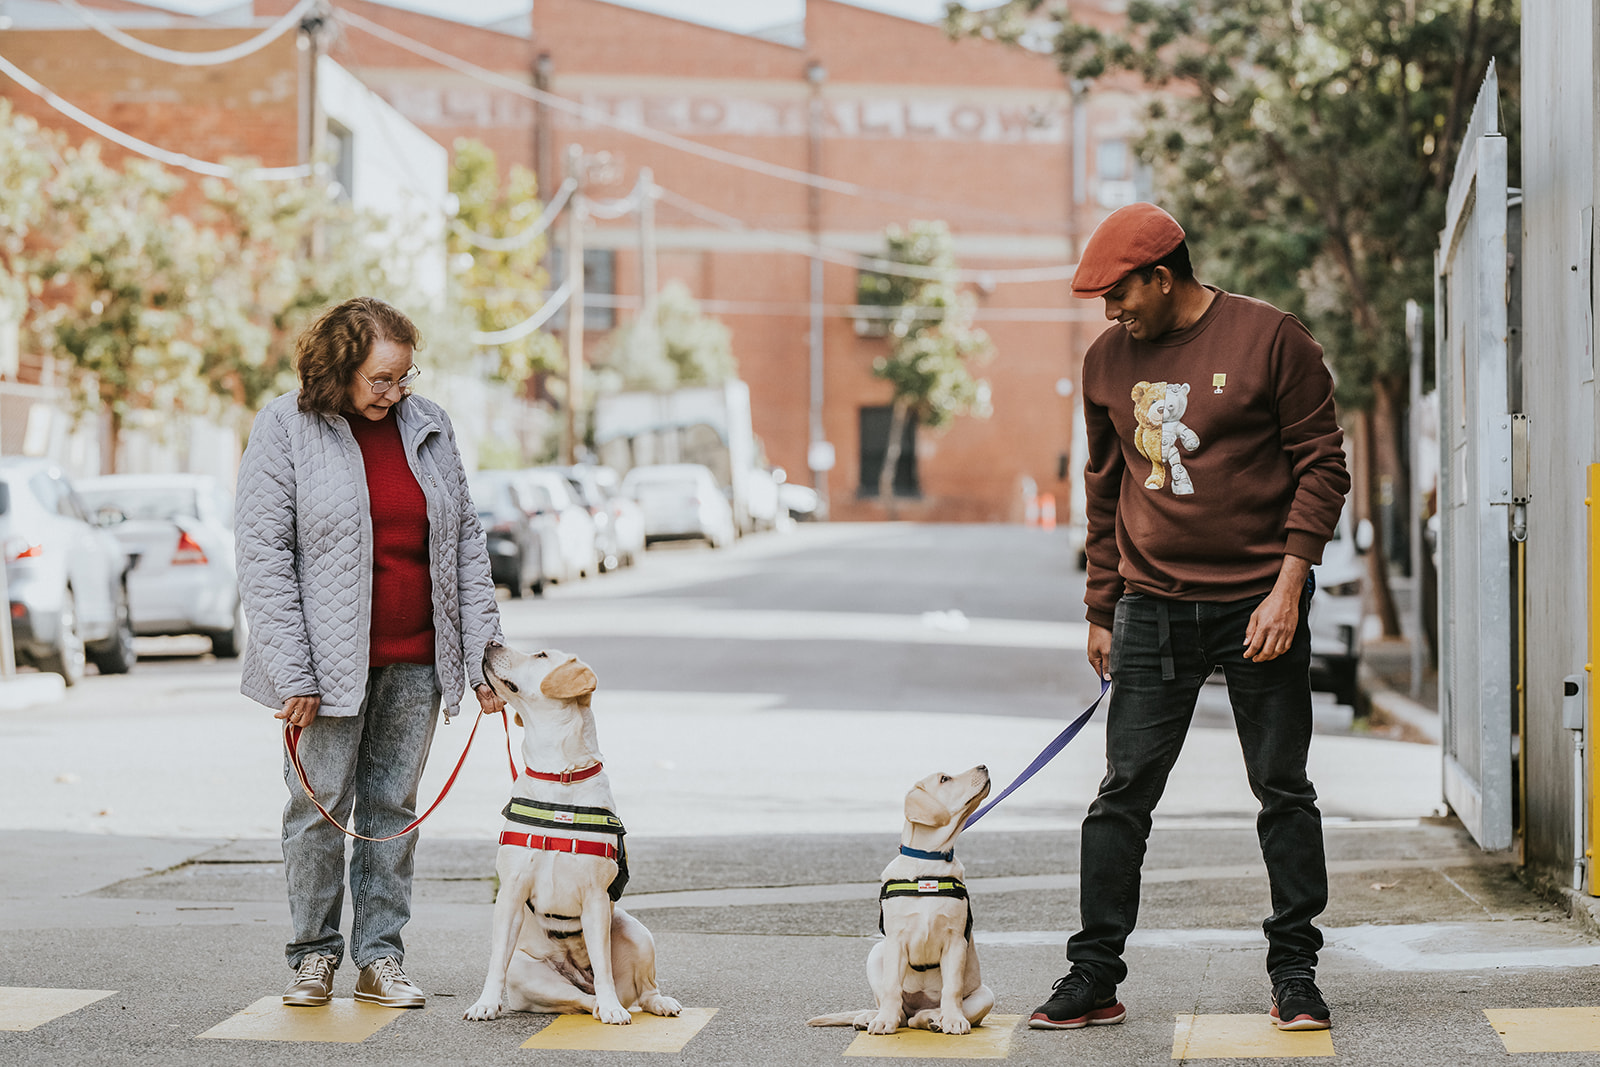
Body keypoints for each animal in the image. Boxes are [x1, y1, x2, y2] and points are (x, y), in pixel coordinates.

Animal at [460, 643, 678, 1023]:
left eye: (540, 655)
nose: (489, 643)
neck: (558, 773)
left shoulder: (595, 898)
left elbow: (603, 966)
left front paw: (613, 1007)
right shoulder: (511, 892)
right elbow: (496, 959)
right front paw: (485, 1003)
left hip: (636, 931)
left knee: (641, 990)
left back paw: (644, 1003)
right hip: (528, 972)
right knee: (578, 1000)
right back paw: (598, 1004)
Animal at [806, 767, 992, 1036]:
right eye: (944, 779)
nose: (984, 766)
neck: (928, 864)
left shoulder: (956, 941)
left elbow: (952, 988)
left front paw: (954, 1019)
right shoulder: (895, 940)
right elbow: (891, 987)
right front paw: (884, 1021)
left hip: (986, 994)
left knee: (917, 1018)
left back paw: (933, 1018)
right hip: (876, 952)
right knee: (900, 1013)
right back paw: (873, 1016)